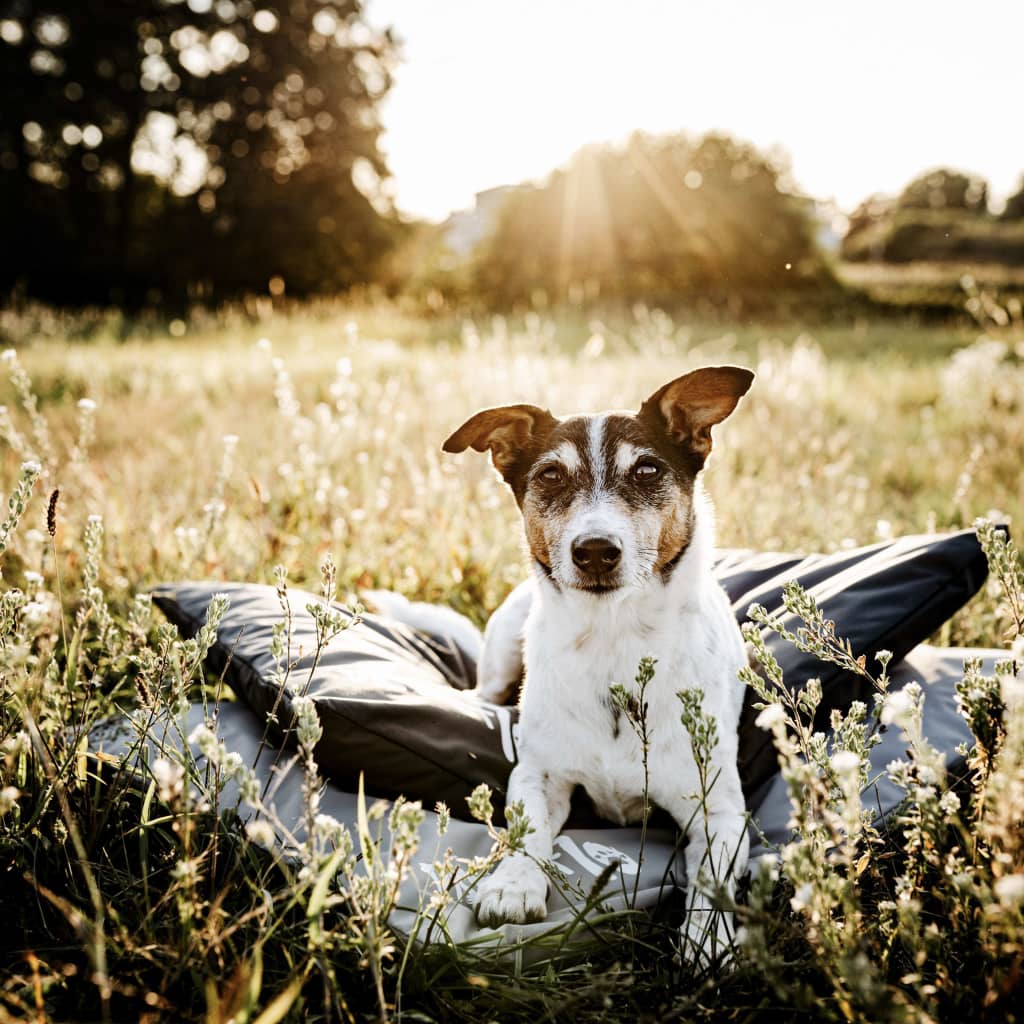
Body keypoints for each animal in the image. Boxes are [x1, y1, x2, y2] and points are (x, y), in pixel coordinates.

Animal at [440, 366, 753, 958]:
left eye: (648, 469)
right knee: (481, 692)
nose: (595, 551)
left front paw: (706, 941)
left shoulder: (719, 809)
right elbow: (528, 828)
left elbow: (712, 881)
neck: (613, 638)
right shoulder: (538, 773)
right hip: (504, 644)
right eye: (551, 475)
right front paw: (513, 886)